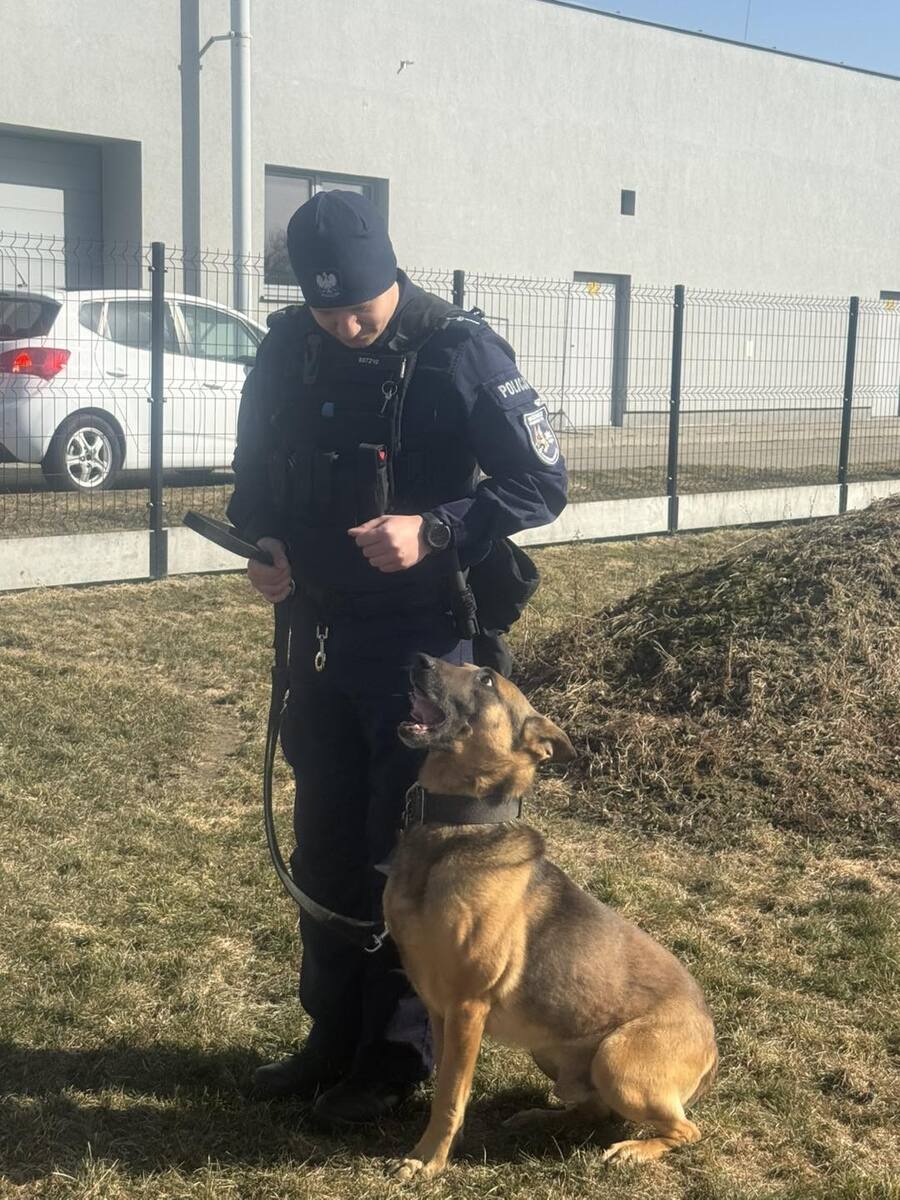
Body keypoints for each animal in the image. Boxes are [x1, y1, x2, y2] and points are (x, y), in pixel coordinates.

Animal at [382, 654, 718, 1181]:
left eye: (486, 679)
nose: (417, 659)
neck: (459, 825)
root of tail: (712, 1039)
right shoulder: (440, 1009)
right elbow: (448, 1086)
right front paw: (443, 1147)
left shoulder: (466, 1008)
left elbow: (451, 1095)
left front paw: (429, 1159)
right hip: (550, 1049)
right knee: (592, 1110)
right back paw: (540, 1117)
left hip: (616, 1060)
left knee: (685, 1129)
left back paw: (633, 1150)